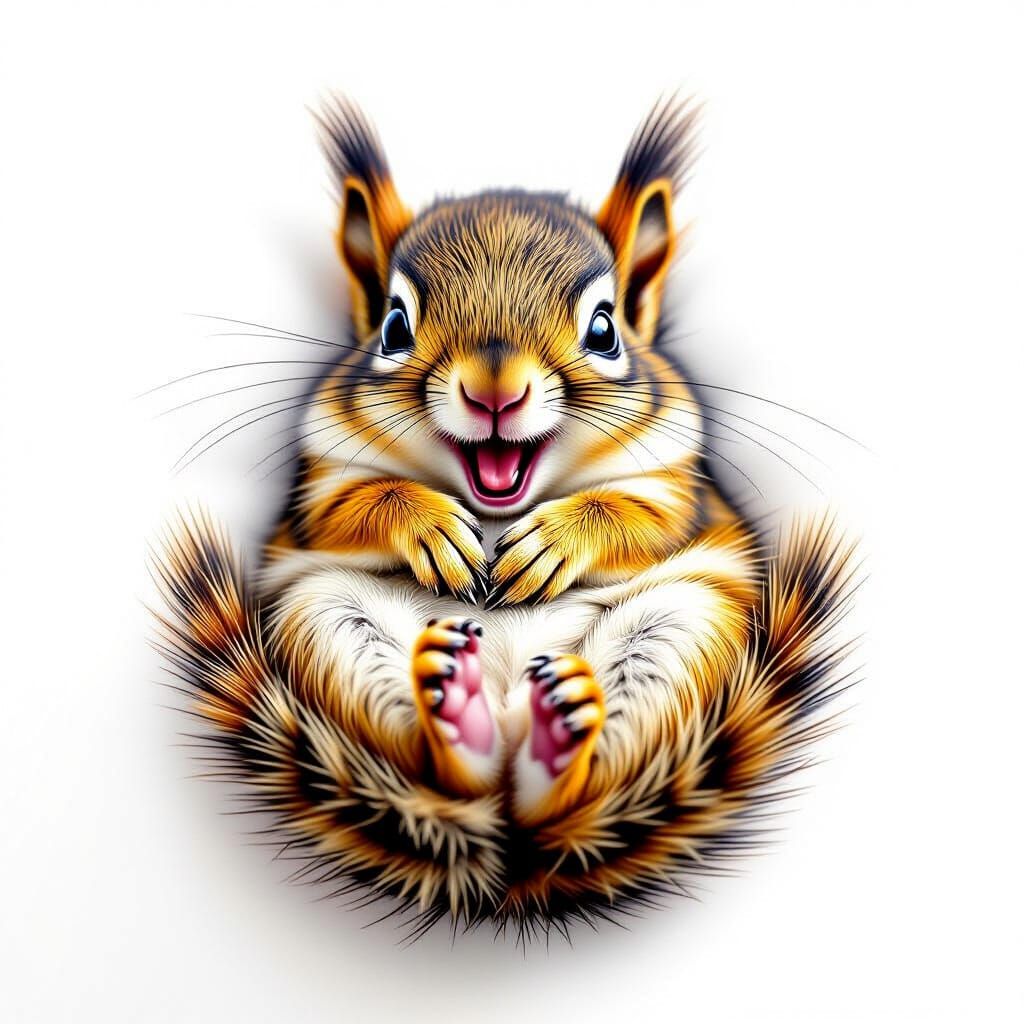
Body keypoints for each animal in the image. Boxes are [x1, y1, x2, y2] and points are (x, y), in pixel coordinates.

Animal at [155, 96, 856, 937]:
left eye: (605, 329)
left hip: (683, 631)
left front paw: (551, 540)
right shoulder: (318, 483)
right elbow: (357, 504)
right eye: (392, 326)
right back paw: (459, 711)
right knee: (456, 769)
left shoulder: (680, 484)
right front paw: (432, 527)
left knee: (559, 785)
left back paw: (554, 736)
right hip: (327, 623)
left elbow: (635, 513)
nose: (496, 390)